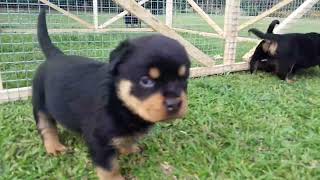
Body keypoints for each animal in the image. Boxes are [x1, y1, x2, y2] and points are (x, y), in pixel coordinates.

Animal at [32, 8, 190, 180]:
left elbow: (126, 139)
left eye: (183, 79)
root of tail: (55, 55)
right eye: (146, 81)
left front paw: (129, 150)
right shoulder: (99, 139)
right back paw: (54, 147)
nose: (174, 103)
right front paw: (115, 177)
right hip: (39, 103)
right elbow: (109, 166)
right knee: (46, 126)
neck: (119, 101)